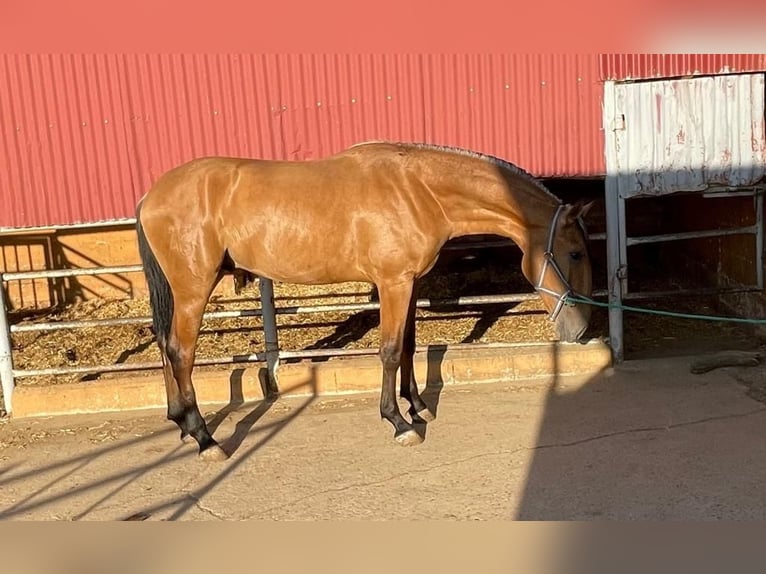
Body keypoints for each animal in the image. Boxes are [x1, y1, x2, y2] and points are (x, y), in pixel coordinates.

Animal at [136, 143, 592, 464]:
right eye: (575, 253)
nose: (583, 330)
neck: (419, 191)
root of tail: (150, 197)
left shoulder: (409, 283)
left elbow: (408, 346)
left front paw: (418, 408)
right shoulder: (392, 283)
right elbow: (389, 351)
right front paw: (399, 423)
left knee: (164, 345)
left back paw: (181, 424)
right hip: (194, 289)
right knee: (180, 352)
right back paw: (205, 438)